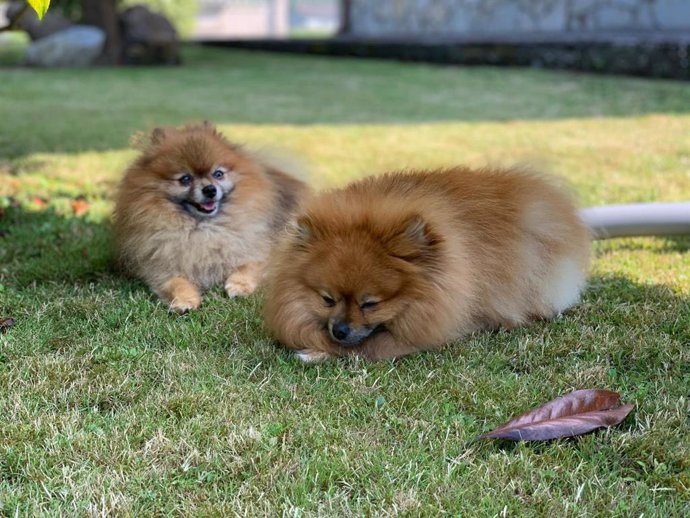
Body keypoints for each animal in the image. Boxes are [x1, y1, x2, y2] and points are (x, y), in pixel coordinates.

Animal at [114, 123, 308, 312]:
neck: (204, 229)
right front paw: (184, 300)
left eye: (218, 174)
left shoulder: (259, 250)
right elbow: (175, 282)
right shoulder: (159, 265)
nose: (209, 189)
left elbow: (249, 266)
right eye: (185, 179)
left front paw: (239, 286)